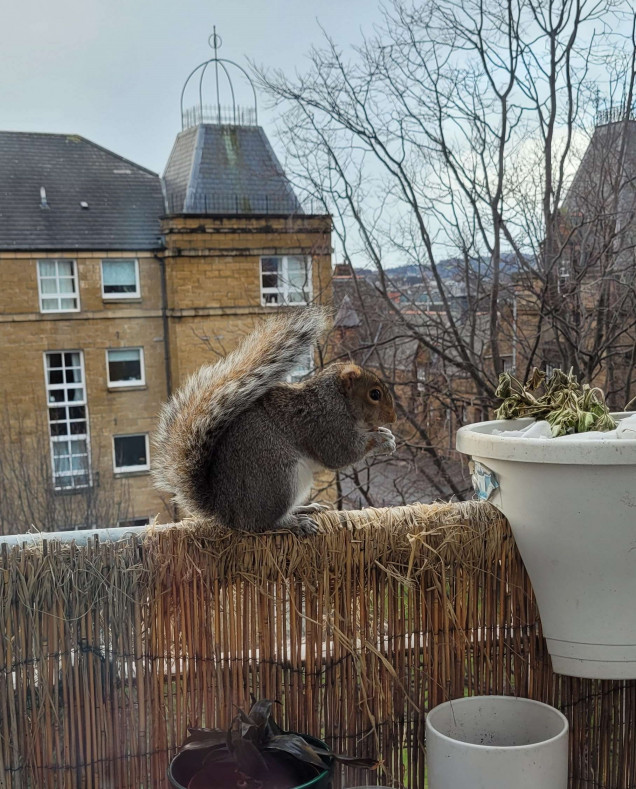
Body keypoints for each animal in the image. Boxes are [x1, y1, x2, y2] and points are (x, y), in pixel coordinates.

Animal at [151, 304, 396, 532]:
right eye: (375, 394)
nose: (393, 418)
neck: (336, 399)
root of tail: (227, 512)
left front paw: (386, 434)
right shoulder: (326, 425)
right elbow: (342, 453)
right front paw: (382, 441)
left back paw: (304, 508)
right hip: (279, 476)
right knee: (263, 522)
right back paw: (295, 523)